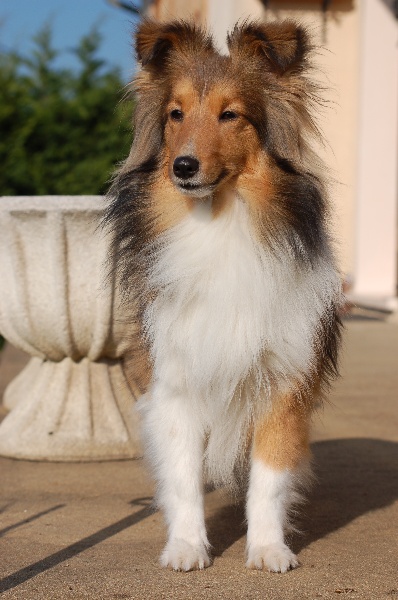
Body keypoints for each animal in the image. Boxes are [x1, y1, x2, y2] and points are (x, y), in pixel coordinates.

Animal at [104, 17, 344, 572]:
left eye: (230, 114)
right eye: (175, 114)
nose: (183, 167)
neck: (219, 224)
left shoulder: (283, 379)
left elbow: (269, 479)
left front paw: (268, 549)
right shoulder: (175, 380)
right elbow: (183, 475)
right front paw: (187, 547)